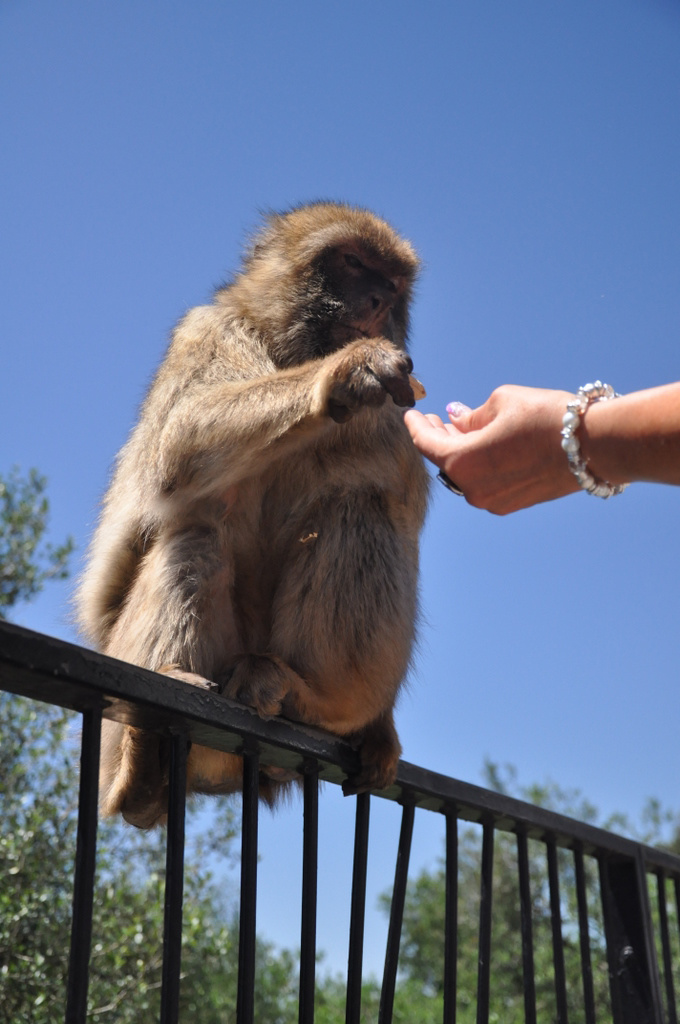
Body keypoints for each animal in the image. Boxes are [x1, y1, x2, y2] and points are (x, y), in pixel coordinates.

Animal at [75, 203, 430, 827]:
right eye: (351, 262)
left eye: (391, 285)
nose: (376, 302)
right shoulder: (207, 329)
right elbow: (181, 440)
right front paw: (344, 375)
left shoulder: (398, 407)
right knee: (197, 532)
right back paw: (142, 763)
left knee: (363, 502)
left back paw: (313, 700)